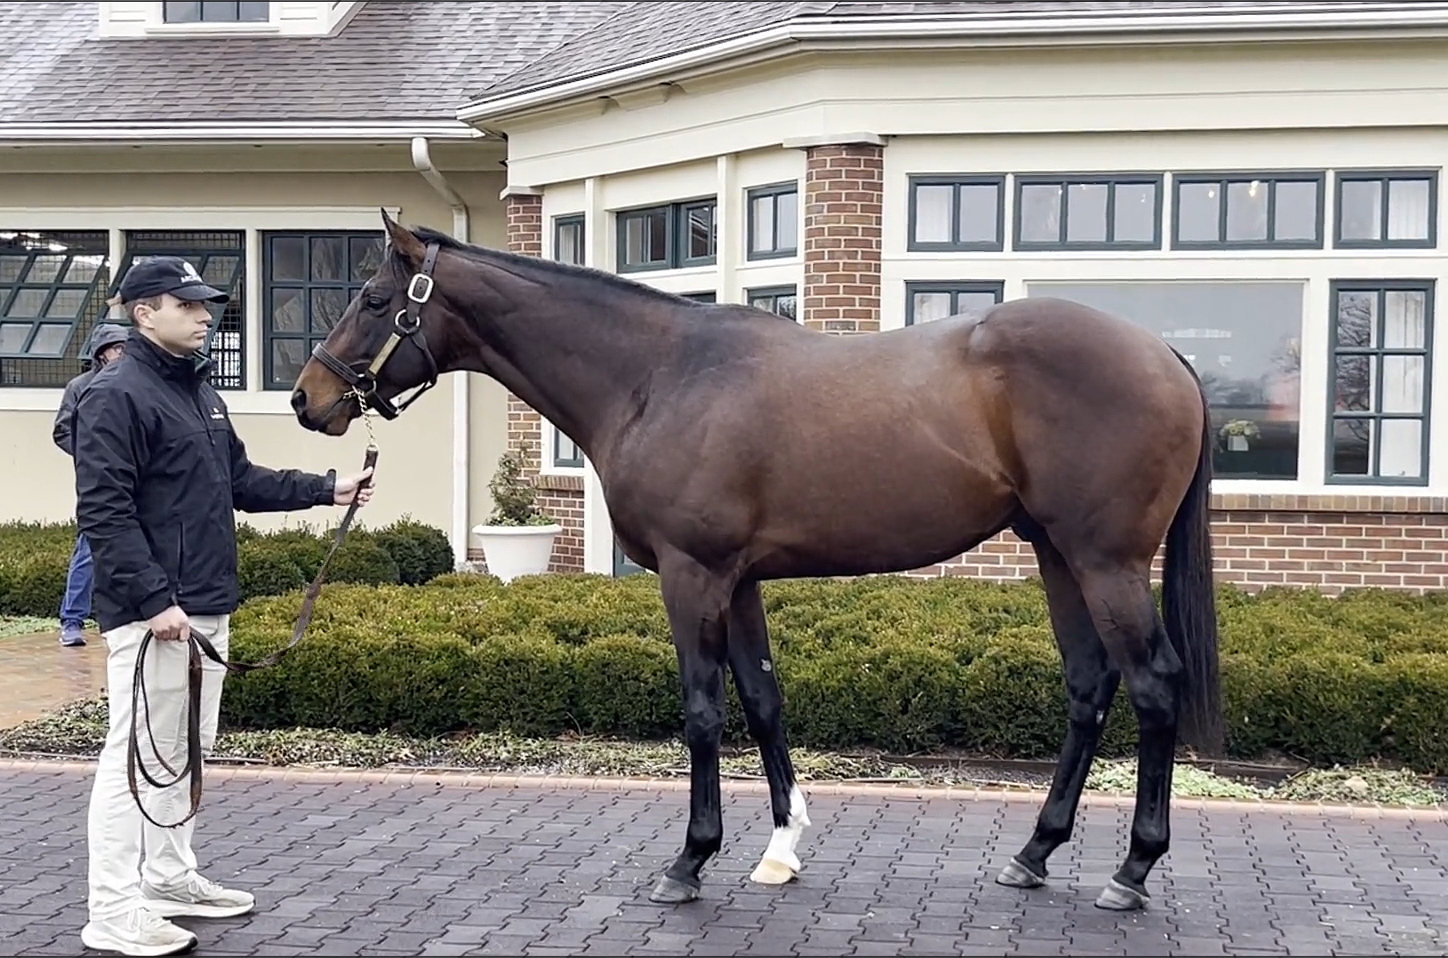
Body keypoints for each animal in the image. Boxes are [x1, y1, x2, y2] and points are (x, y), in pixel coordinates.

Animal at [290, 209, 1223, 912]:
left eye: (375, 298)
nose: (310, 397)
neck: (657, 376)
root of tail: (1168, 356)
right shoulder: (737, 581)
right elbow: (765, 700)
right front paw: (781, 848)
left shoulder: (691, 573)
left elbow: (704, 711)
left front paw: (689, 861)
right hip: (1057, 554)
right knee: (1088, 686)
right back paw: (1034, 852)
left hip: (1105, 561)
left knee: (1152, 685)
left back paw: (1131, 870)